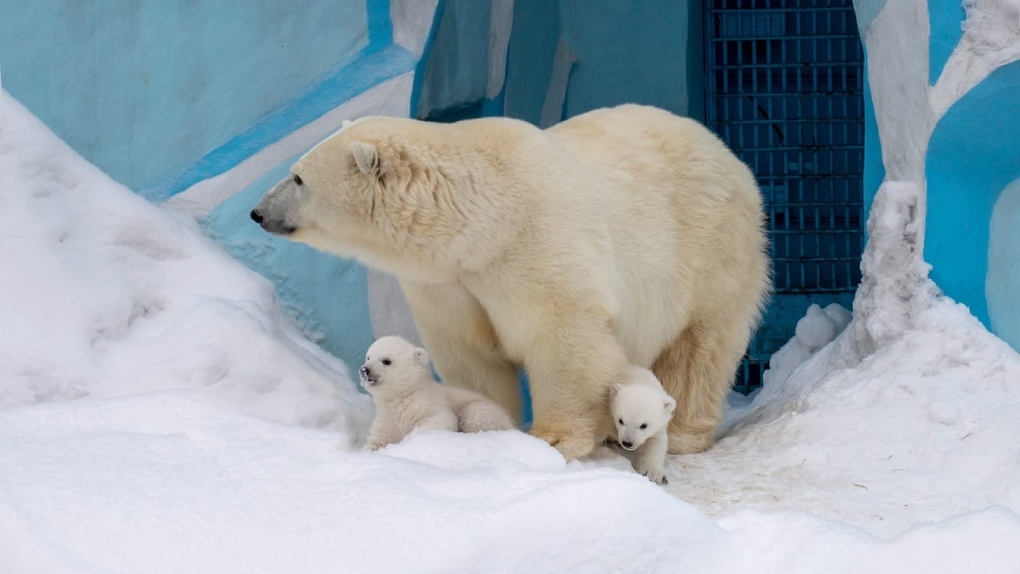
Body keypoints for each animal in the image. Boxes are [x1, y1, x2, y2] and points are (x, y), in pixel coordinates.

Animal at [361, 334, 518, 450]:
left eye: (386, 361)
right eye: (368, 356)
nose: (364, 370)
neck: (405, 395)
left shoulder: (428, 404)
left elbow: (443, 420)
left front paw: (411, 439)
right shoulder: (387, 420)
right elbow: (378, 439)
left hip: (484, 410)